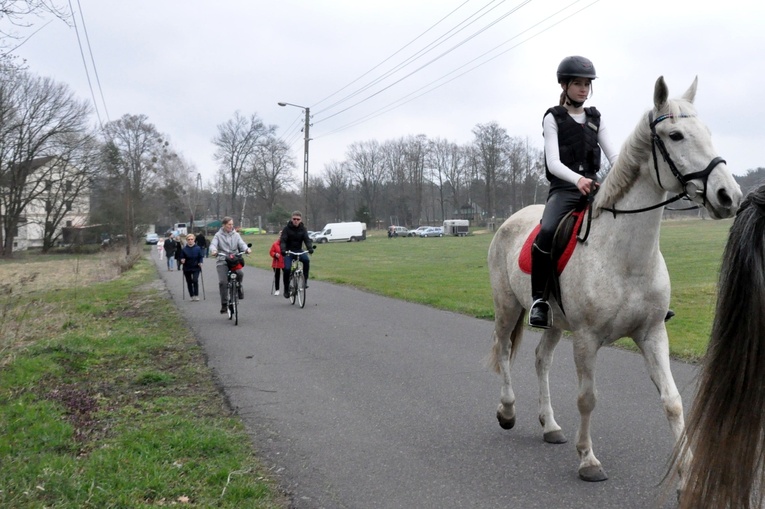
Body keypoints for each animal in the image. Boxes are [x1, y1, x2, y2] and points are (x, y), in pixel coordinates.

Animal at [486, 77, 744, 482]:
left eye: (708, 132)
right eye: (675, 135)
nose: (728, 196)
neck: (626, 259)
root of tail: (509, 222)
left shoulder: (652, 333)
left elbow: (672, 400)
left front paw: (685, 472)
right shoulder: (587, 339)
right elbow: (587, 398)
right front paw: (588, 460)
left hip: (554, 322)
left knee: (541, 360)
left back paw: (550, 425)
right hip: (507, 307)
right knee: (504, 351)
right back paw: (508, 411)